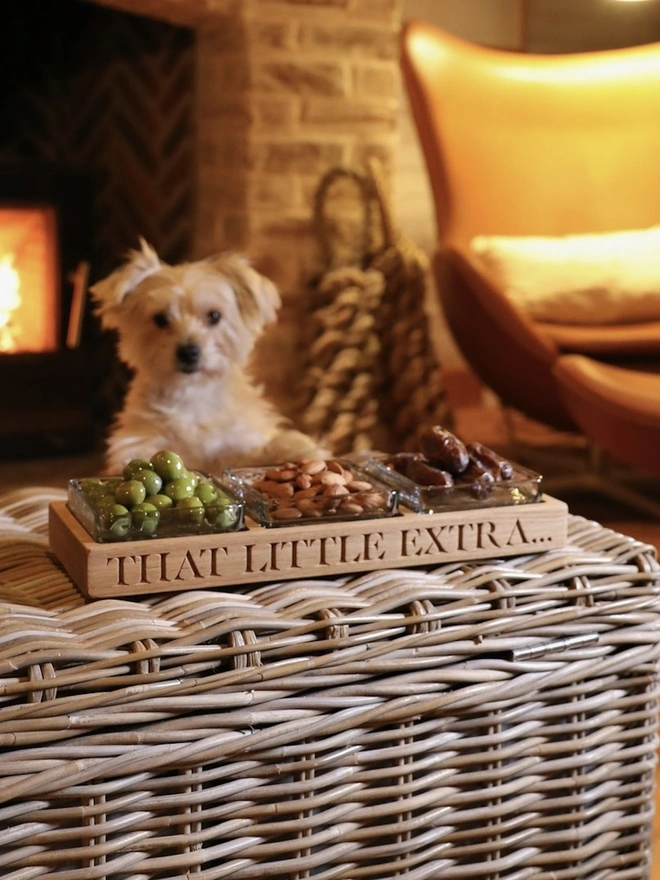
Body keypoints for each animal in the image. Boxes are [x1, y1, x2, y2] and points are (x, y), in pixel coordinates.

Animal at [89, 239, 322, 474]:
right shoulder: (138, 441)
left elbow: (253, 451)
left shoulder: (237, 440)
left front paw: (299, 448)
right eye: (160, 319)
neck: (192, 394)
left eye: (214, 316)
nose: (188, 352)